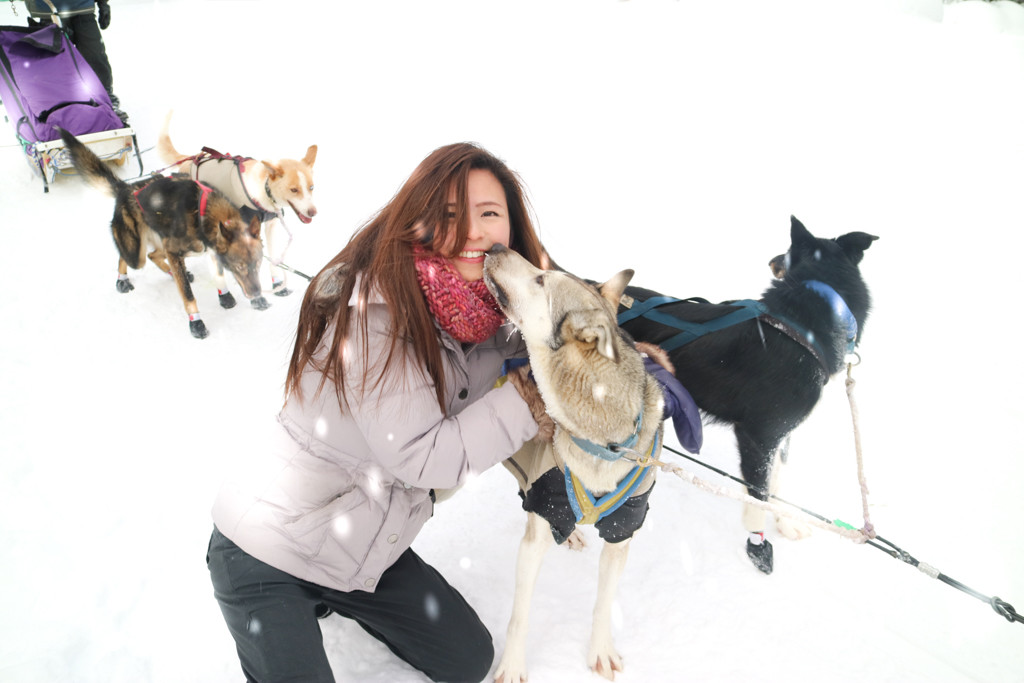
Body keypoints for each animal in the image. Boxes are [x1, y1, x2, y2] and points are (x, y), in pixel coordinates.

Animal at [57, 127, 266, 339]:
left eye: (258, 263)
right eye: (239, 266)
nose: (257, 293)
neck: (202, 211)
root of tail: (125, 188)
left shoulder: (208, 251)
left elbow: (219, 276)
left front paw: (227, 297)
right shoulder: (176, 250)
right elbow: (188, 295)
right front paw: (196, 323)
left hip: (167, 245)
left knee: (154, 255)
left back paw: (174, 272)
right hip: (138, 254)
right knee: (128, 257)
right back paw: (123, 280)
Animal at [154, 112, 315, 299]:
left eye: (311, 187)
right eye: (294, 190)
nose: (313, 212)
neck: (262, 189)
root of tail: (190, 160)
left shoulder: (270, 225)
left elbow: (272, 258)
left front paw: (277, 284)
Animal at [483, 246, 667, 683]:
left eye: (541, 280)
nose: (497, 247)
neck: (604, 444)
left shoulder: (622, 532)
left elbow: (604, 601)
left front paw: (600, 649)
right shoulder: (535, 534)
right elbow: (520, 614)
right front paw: (512, 665)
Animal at [618, 216, 876, 573]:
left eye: (786, 253)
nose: (771, 261)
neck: (800, 328)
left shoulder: (782, 433)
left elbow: (776, 482)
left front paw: (785, 523)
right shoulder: (758, 437)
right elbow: (759, 497)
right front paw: (758, 546)